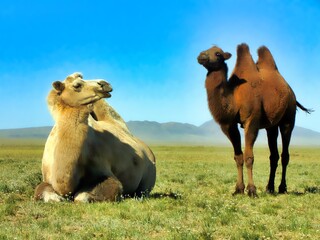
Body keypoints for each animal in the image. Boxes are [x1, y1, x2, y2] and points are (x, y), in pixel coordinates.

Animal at [33, 72, 156, 202]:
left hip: (149, 173)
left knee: (142, 191)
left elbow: (84, 196)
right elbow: (41, 191)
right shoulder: (47, 177)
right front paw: (56, 198)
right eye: (77, 85)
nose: (104, 83)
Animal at [198, 43, 310, 197]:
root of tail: (291, 91)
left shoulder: (251, 121)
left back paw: (282, 188)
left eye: (218, 54)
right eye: (207, 49)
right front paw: (238, 189)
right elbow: (238, 157)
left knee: (285, 154)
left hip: (288, 118)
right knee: (273, 155)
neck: (235, 98)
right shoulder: (230, 125)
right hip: (271, 126)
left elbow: (249, 157)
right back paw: (270, 188)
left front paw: (252, 190)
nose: (201, 56)